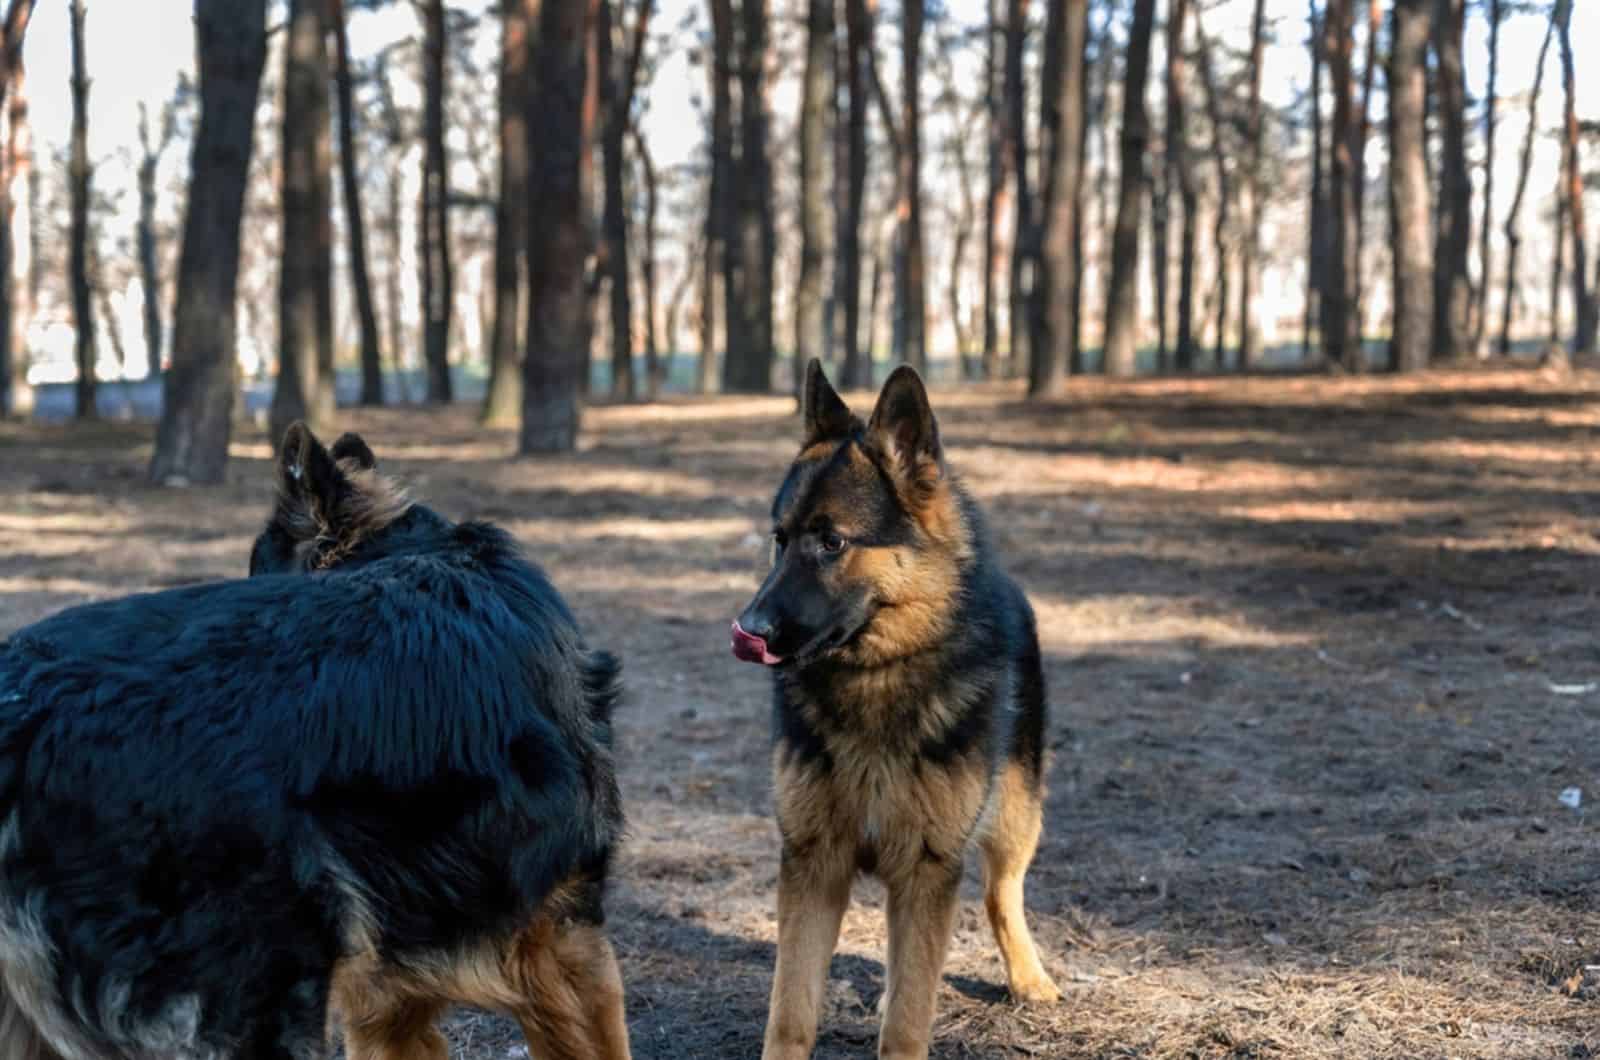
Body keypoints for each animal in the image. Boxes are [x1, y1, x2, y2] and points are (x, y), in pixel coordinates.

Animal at [732, 365, 1062, 1060]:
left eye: (832, 542)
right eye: (779, 540)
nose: (748, 629)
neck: (876, 678)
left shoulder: (929, 866)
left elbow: (910, 1020)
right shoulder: (813, 863)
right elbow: (791, 1011)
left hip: (1016, 814)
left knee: (1002, 893)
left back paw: (1028, 977)